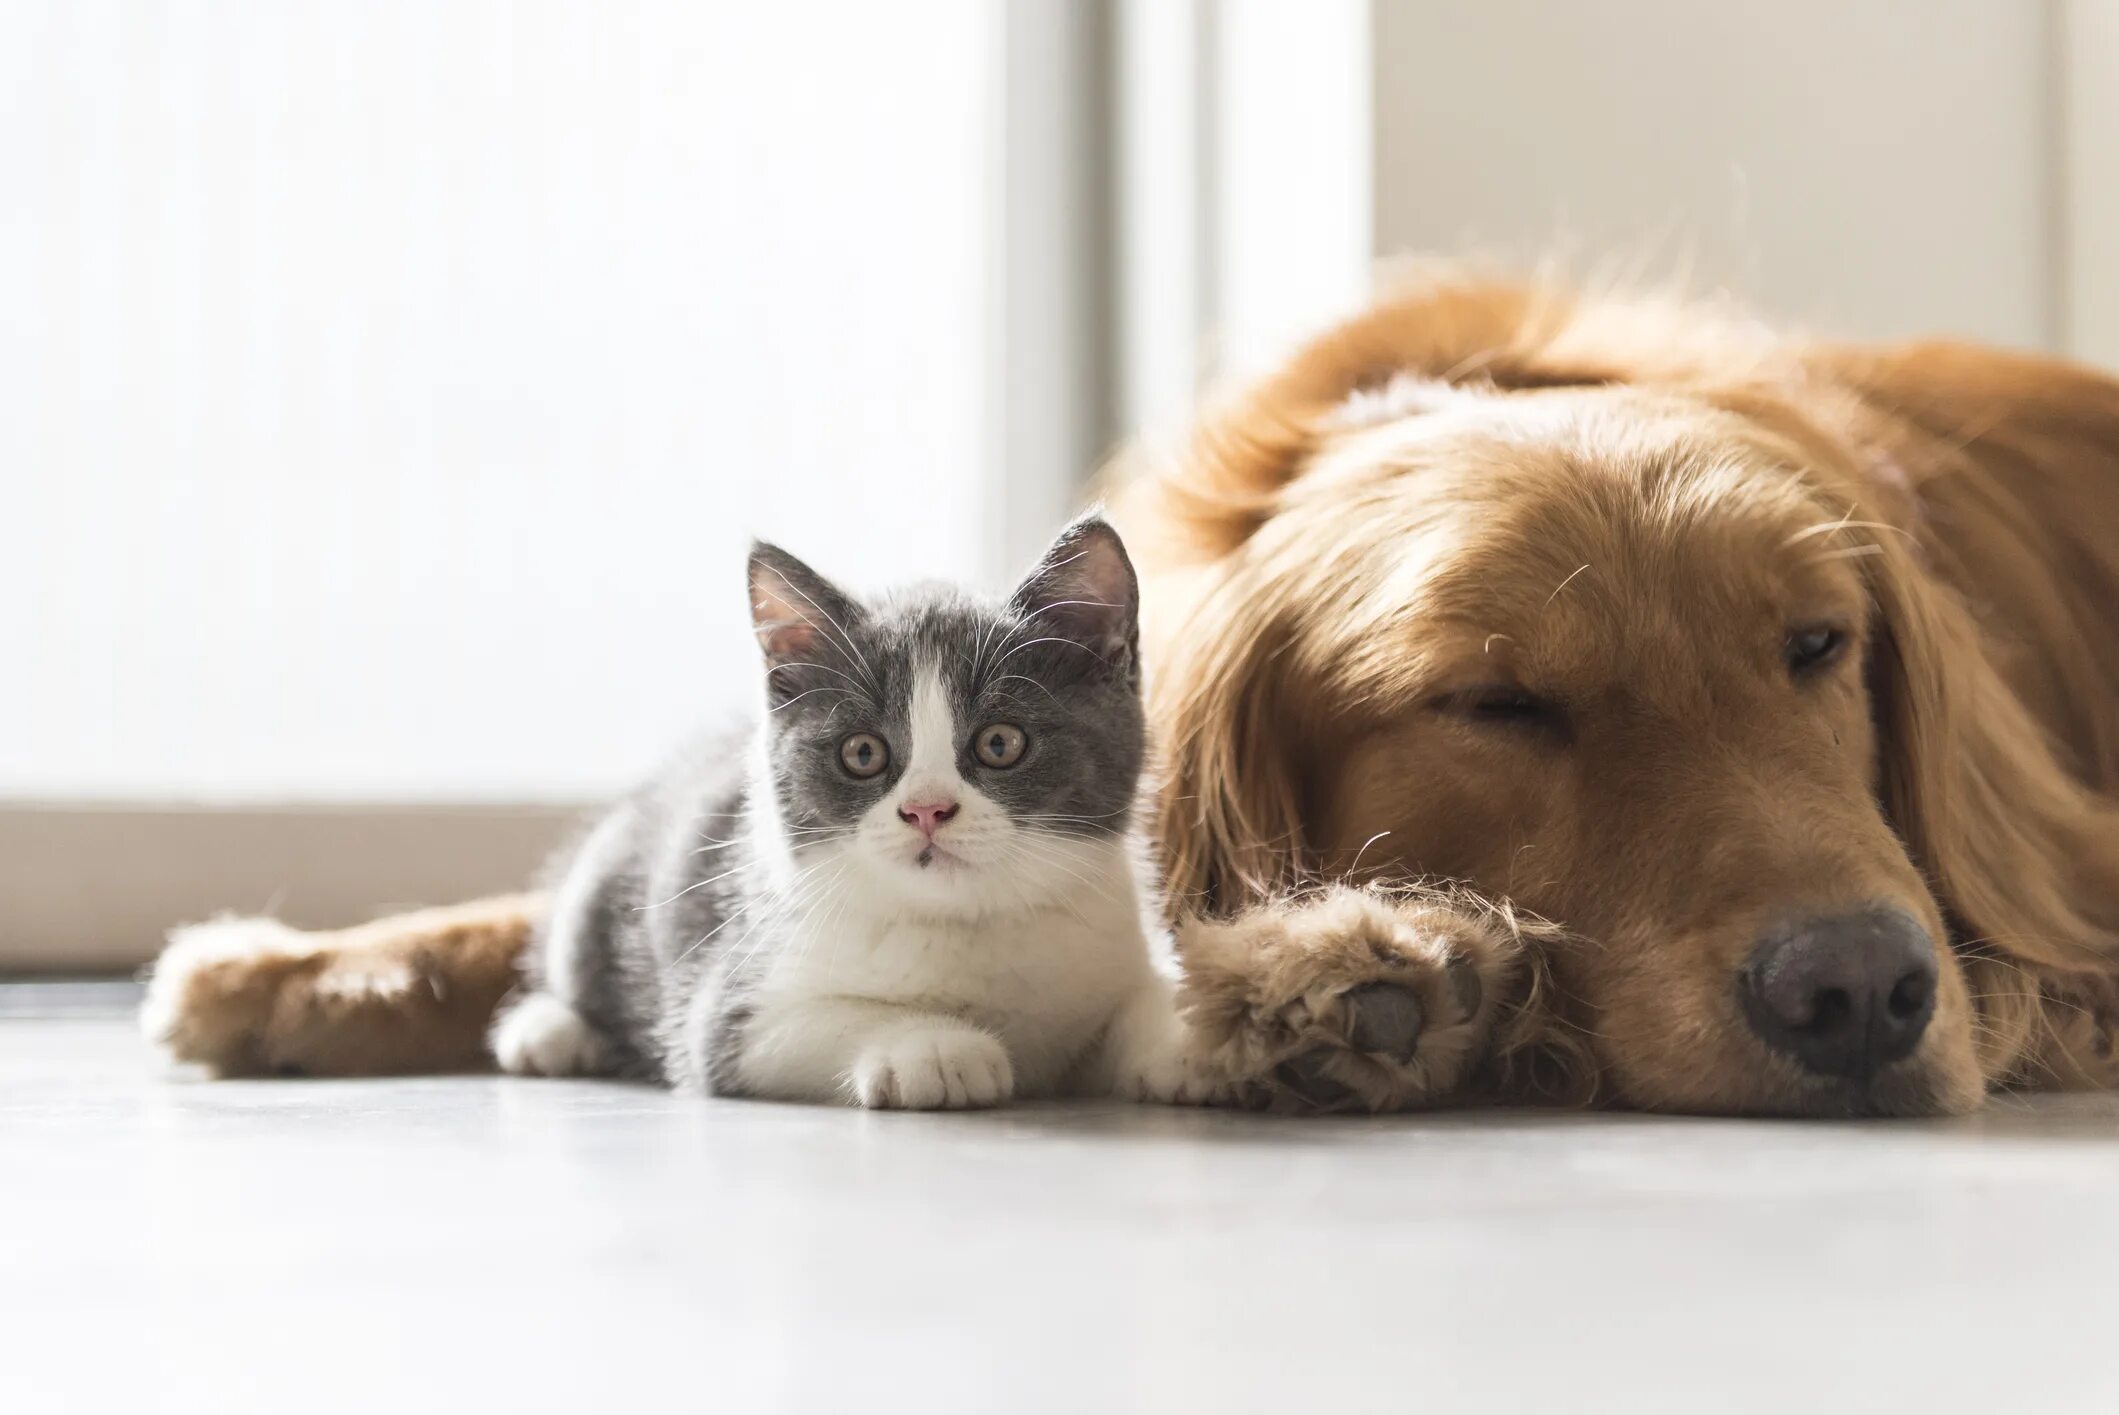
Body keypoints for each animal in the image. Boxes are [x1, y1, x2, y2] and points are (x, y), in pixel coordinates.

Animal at [489, 514, 1220, 1109]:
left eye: (1000, 743)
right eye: (863, 752)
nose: (927, 810)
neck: (966, 922)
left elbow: (1142, 995)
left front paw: (1194, 1035)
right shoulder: (734, 1009)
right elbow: (822, 1018)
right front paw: (935, 1048)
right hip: (600, 887)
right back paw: (546, 1033)